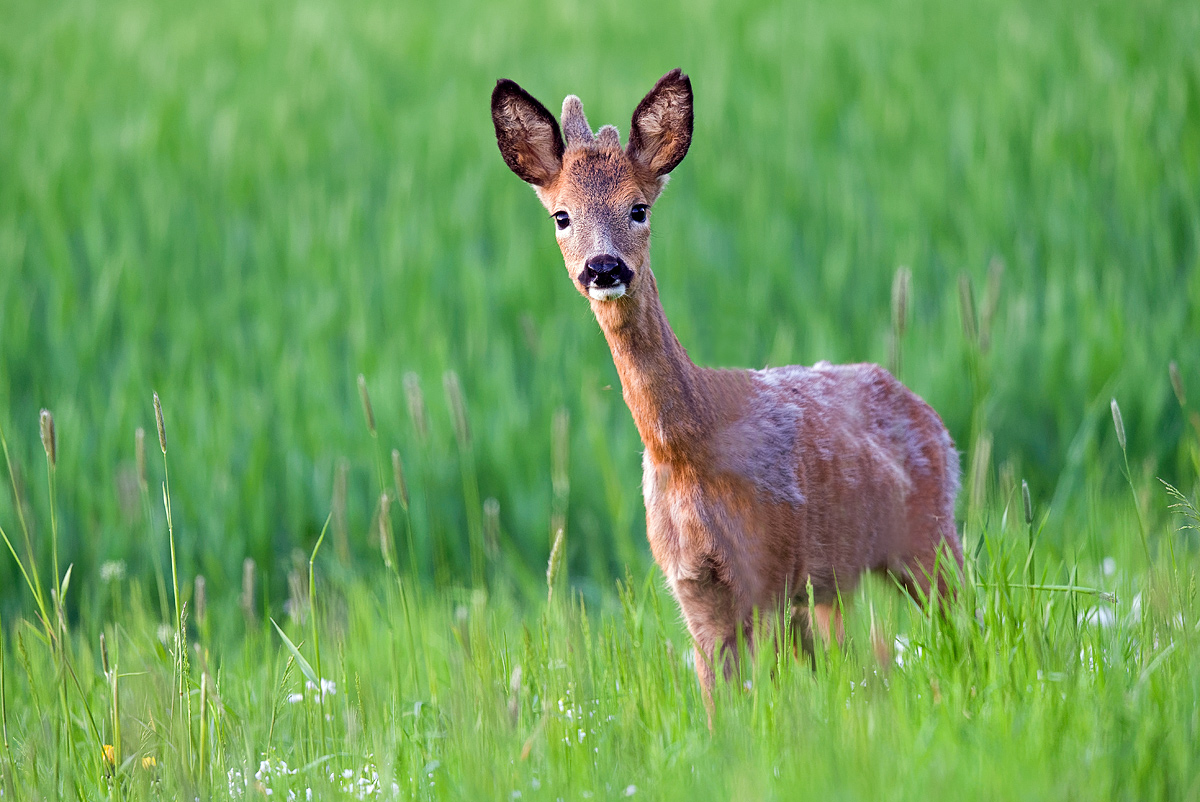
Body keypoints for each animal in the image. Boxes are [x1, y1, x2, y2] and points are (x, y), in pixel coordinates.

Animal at [492, 67, 960, 696]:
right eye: (561, 216)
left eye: (639, 209)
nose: (604, 268)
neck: (690, 446)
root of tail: (930, 416)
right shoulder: (694, 587)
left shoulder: (772, 568)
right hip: (840, 580)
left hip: (930, 536)